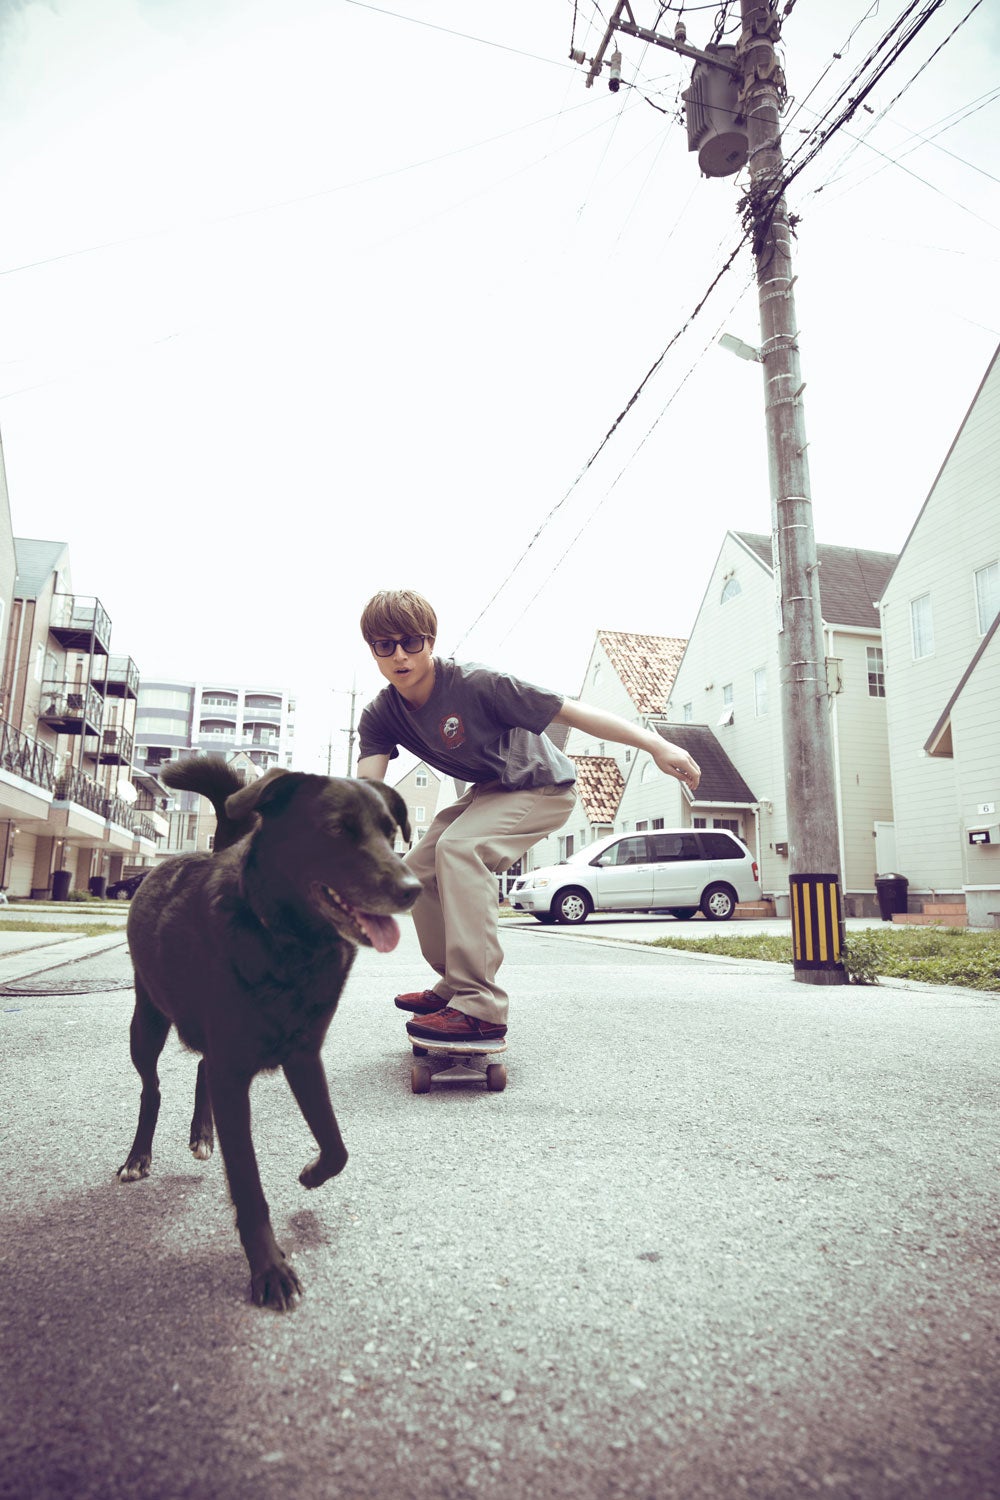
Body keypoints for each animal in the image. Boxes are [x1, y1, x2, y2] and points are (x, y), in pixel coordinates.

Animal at [119, 762, 419, 1302]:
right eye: (337, 830)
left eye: (390, 834)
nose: (413, 888)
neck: (289, 942)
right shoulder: (234, 1070)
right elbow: (248, 1182)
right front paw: (269, 1269)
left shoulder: (303, 1056)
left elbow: (336, 1145)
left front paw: (312, 1175)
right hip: (146, 1023)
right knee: (151, 1088)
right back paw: (138, 1157)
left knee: (200, 1067)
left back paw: (202, 1134)